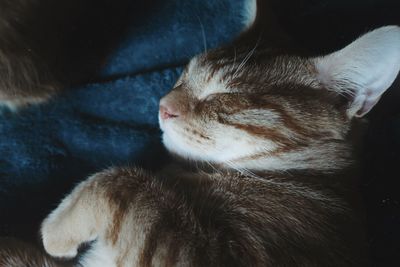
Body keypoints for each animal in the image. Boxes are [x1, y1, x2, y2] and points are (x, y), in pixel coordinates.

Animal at [0, 24, 394, 266]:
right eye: (182, 77)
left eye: (227, 94)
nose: (163, 106)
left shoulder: (209, 256)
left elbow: (122, 182)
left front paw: (55, 233)